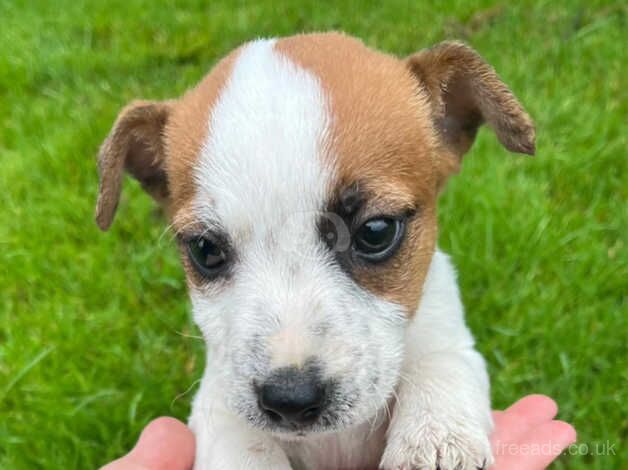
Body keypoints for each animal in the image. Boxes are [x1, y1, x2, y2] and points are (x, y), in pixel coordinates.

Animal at [94, 31, 536, 468]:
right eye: (205, 249)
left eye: (375, 231)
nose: (289, 399)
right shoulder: (218, 401)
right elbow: (245, 445)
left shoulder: (452, 340)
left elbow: (441, 365)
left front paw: (433, 436)